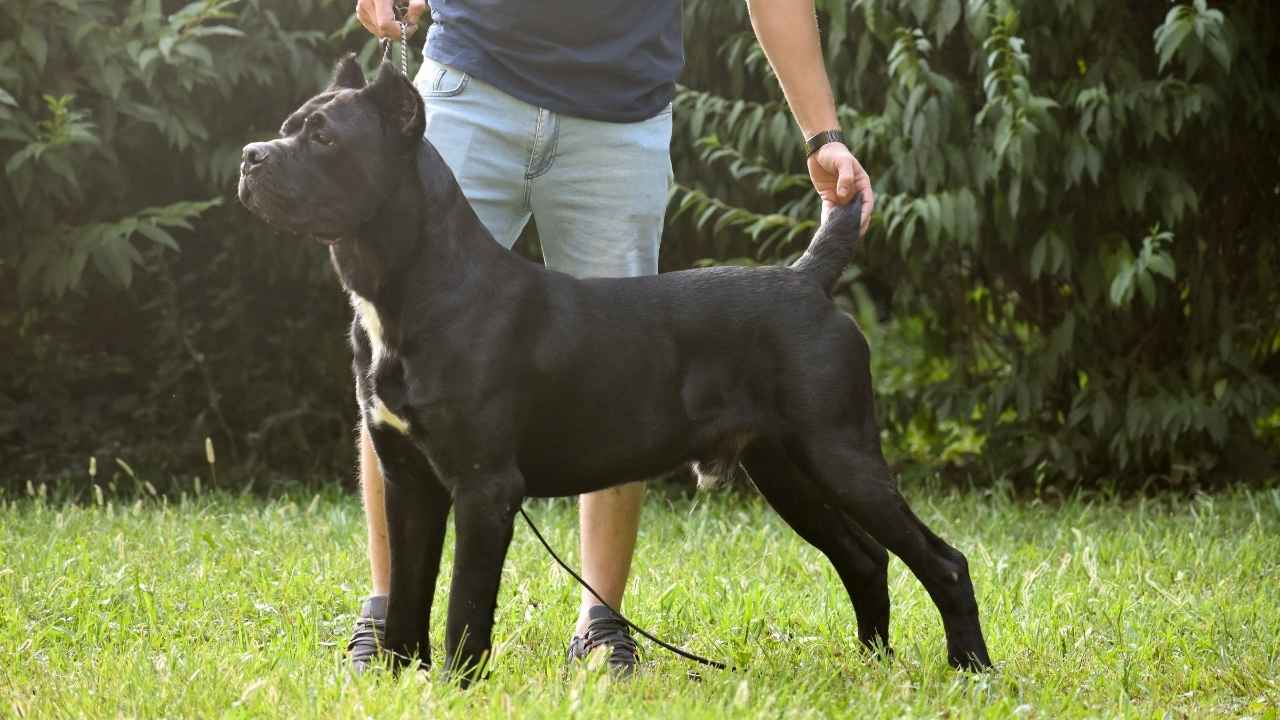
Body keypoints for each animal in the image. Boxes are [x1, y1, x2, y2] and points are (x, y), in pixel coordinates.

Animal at [240, 57, 993, 676]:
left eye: (324, 139)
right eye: (287, 128)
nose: (251, 156)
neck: (407, 288)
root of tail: (807, 279)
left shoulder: (484, 486)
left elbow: (463, 606)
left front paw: (456, 684)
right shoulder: (408, 479)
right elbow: (407, 593)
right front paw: (397, 677)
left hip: (840, 452)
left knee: (942, 561)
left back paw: (970, 668)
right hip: (784, 467)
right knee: (865, 558)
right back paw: (873, 663)